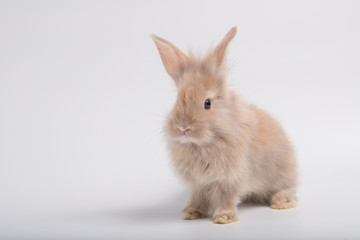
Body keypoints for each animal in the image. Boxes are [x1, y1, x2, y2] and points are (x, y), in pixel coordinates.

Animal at [150, 27, 296, 224]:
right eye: (177, 100)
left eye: (207, 103)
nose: (183, 128)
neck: (202, 145)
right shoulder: (199, 183)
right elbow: (198, 197)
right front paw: (191, 212)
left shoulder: (230, 177)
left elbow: (226, 196)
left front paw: (223, 217)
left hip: (283, 174)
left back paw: (280, 202)